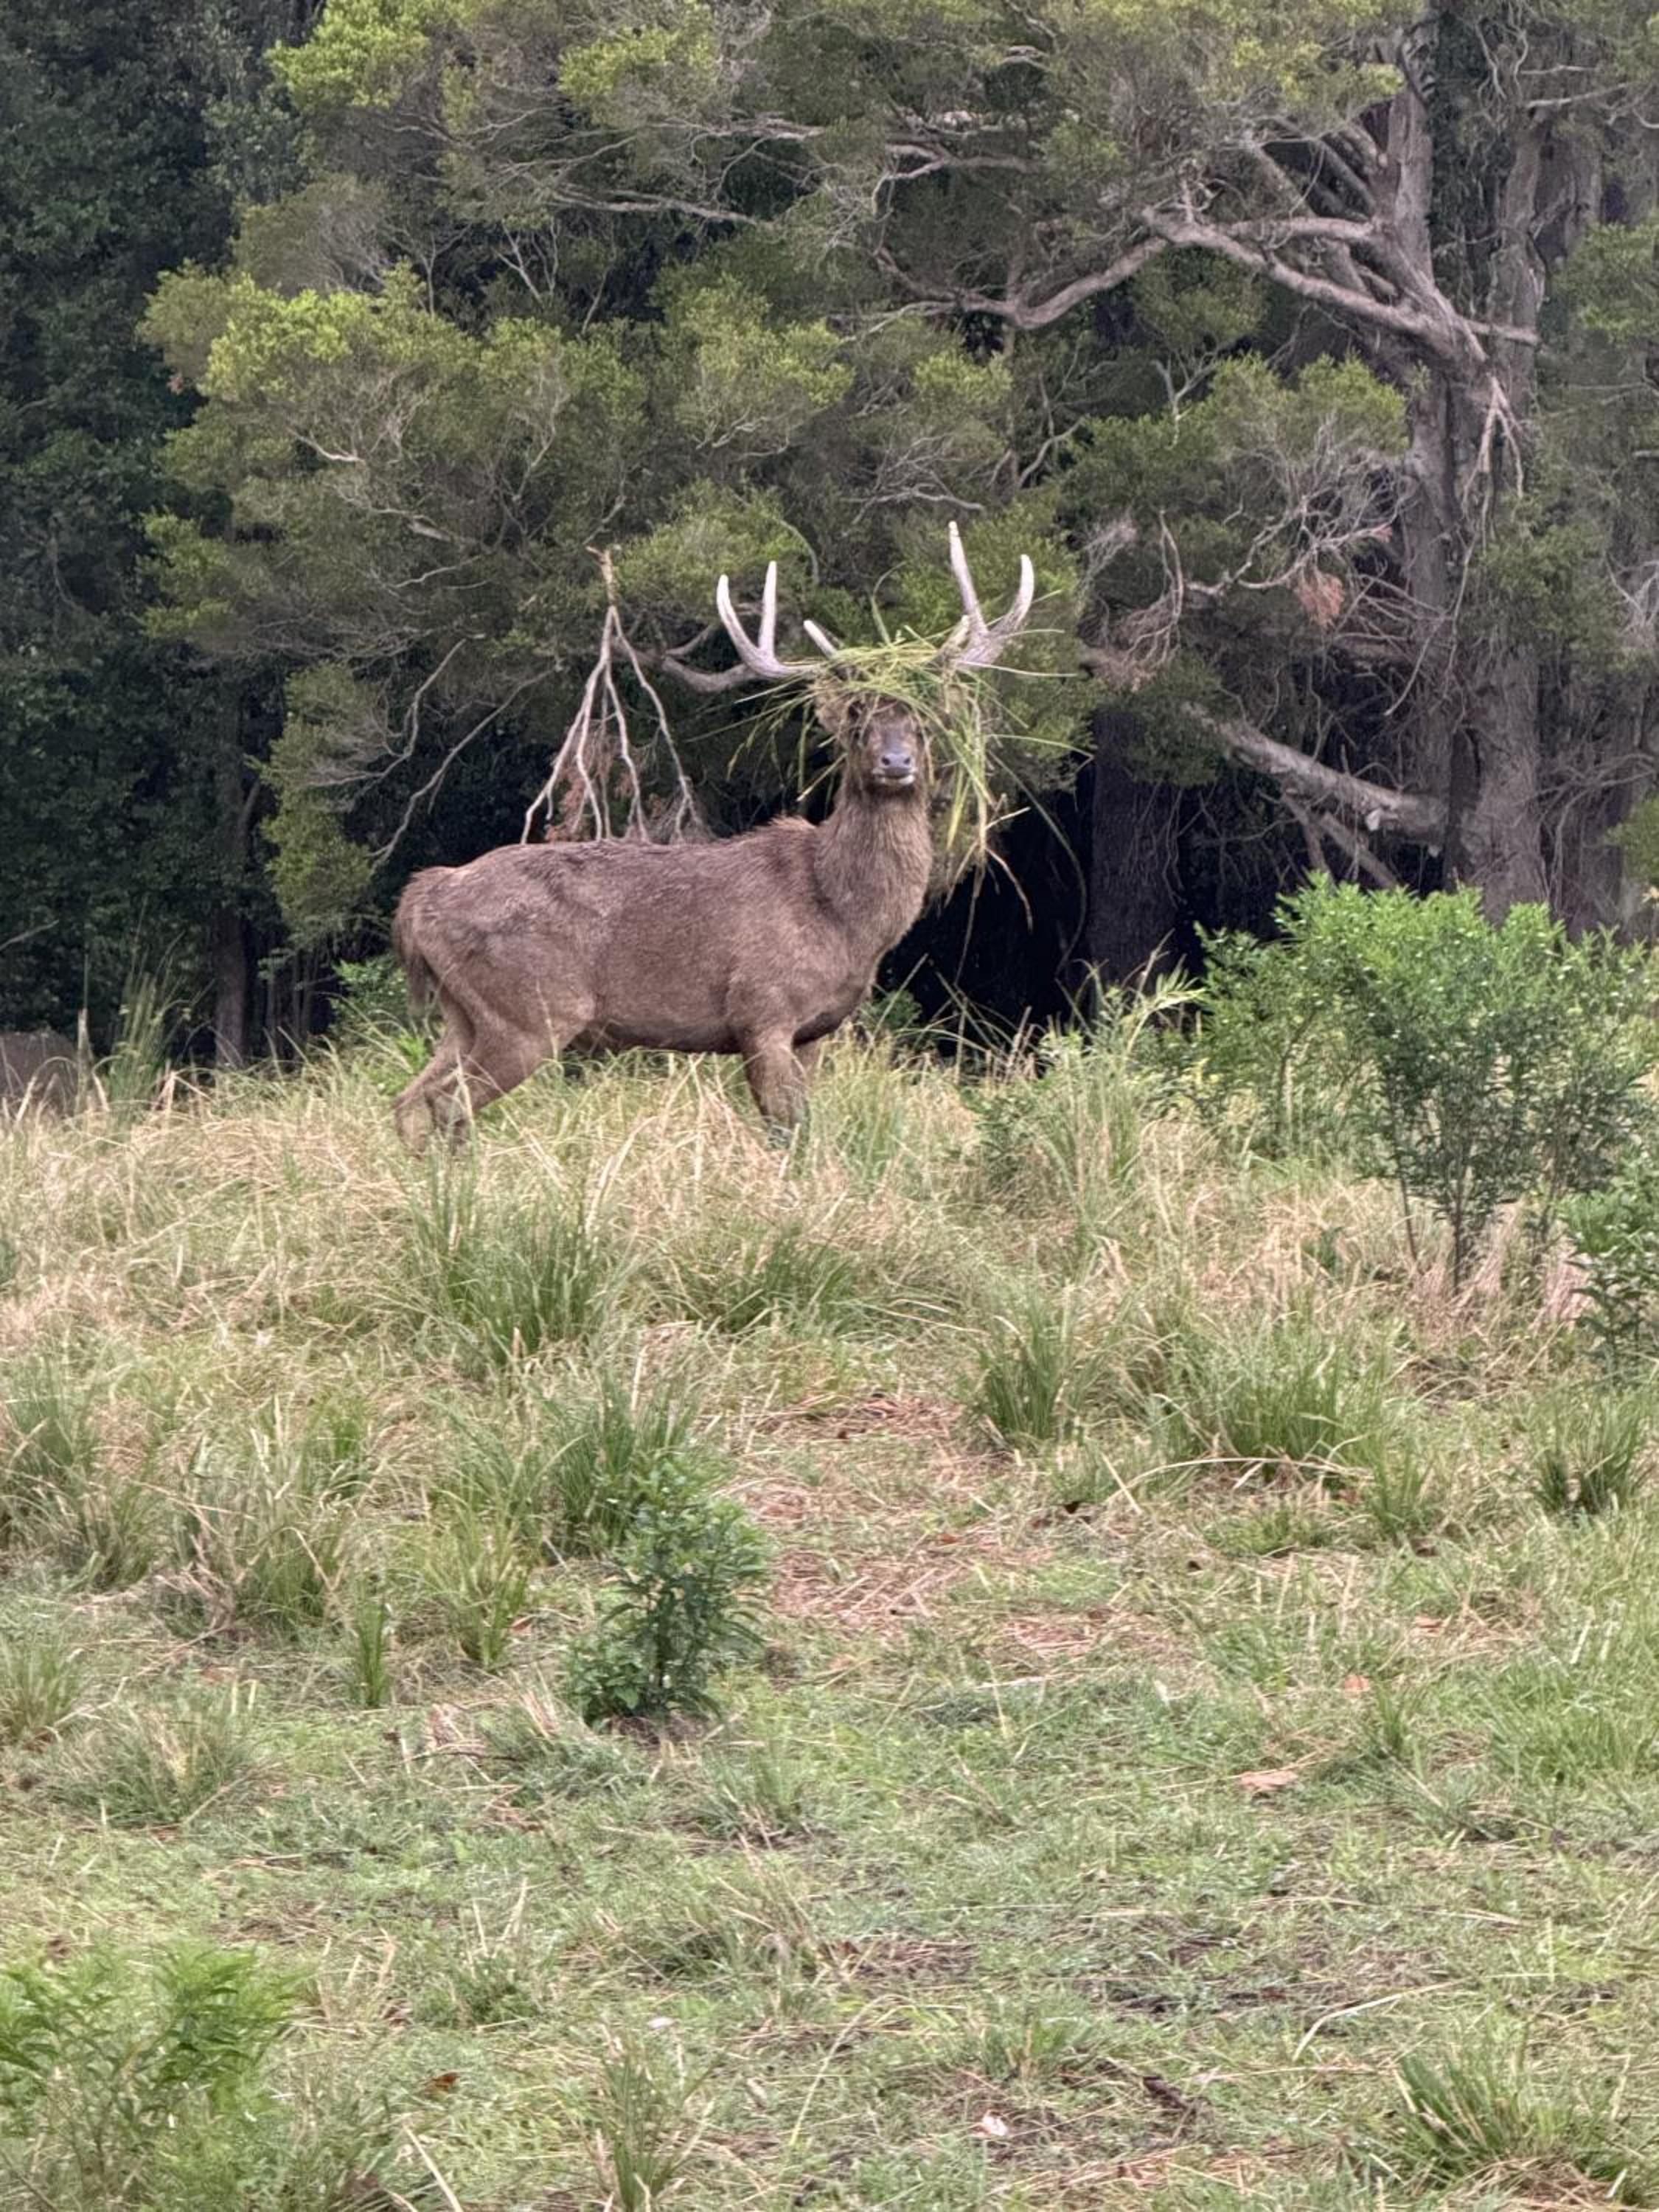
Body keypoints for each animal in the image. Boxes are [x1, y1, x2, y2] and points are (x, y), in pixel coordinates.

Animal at [389, 525, 1034, 1147]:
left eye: (924, 719)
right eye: (856, 716)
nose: (895, 762)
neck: (842, 915)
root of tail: (423, 898)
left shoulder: (815, 1029)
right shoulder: (762, 1008)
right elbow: (787, 1130)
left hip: (465, 1012)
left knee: (408, 1099)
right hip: (530, 1007)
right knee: (448, 1102)